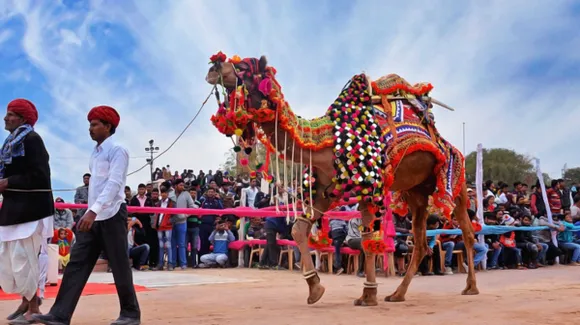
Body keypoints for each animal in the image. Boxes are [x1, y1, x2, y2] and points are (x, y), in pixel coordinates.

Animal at [206, 52, 478, 306]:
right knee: (421, 243)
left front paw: (368, 295)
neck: (327, 141)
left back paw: (470, 287)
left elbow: (368, 240)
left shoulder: (371, 187)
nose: (213, 67)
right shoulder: (324, 191)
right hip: (417, 192)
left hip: (455, 179)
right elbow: (298, 230)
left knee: (467, 231)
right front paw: (315, 288)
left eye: (243, 66)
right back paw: (398, 294)